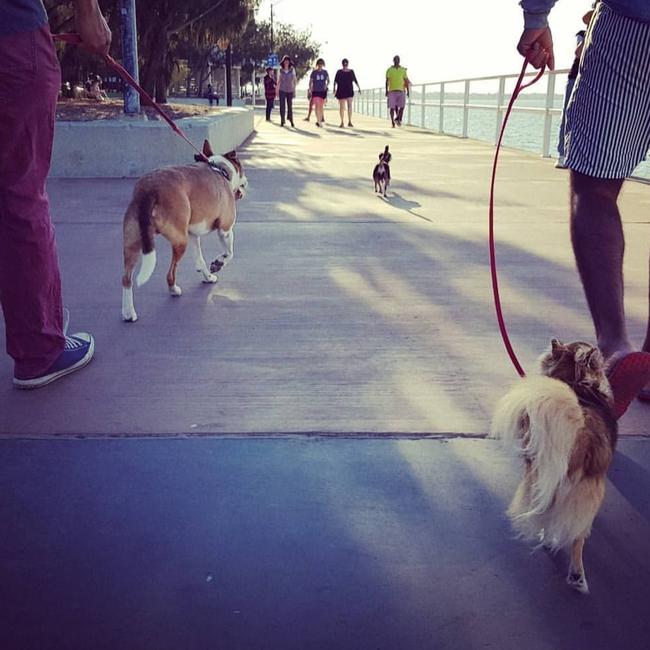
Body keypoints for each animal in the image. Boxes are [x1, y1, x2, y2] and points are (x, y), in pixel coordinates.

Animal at [119, 140, 246, 322]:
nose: (246, 183)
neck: (220, 169)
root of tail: (148, 190)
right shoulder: (225, 229)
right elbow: (229, 253)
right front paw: (218, 264)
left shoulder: (193, 234)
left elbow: (200, 260)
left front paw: (208, 276)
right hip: (180, 241)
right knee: (170, 273)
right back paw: (174, 290)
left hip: (133, 242)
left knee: (126, 278)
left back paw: (128, 312)